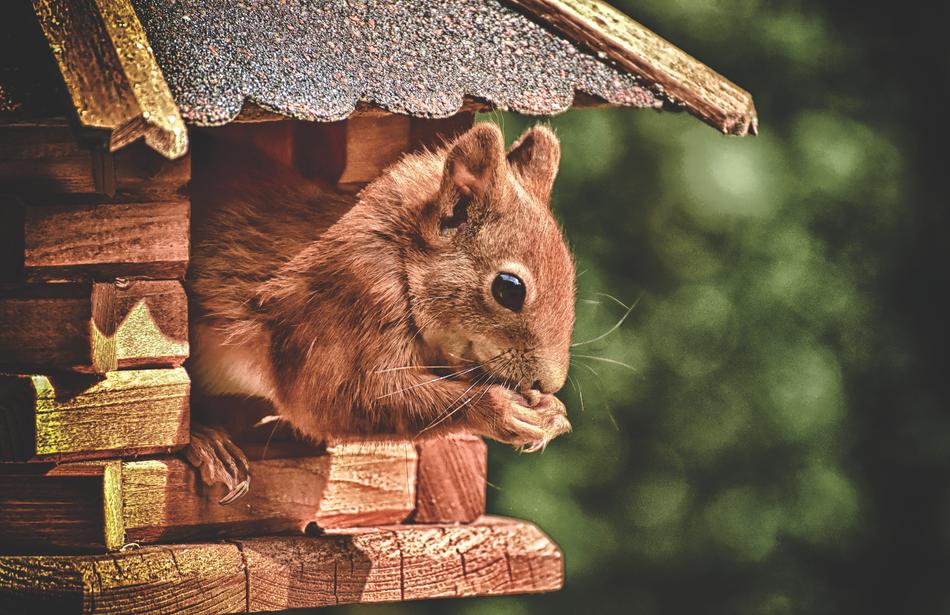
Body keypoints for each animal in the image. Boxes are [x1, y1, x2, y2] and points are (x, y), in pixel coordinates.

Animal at [186, 122, 575, 502]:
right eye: (509, 288)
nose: (547, 383)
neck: (399, 252)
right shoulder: (345, 300)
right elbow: (334, 399)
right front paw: (502, 408)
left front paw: (552, 411)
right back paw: (207, 443)